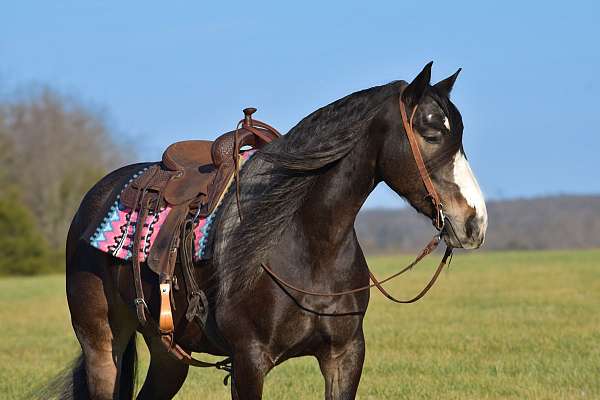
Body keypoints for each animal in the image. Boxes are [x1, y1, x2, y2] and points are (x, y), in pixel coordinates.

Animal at [48, 61, 488, 398]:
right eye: (432, 133)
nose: (475, 223)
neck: (307, 244)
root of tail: (92, 201)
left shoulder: (345, 356)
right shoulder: (249, 362)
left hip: (167, 353)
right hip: (101, 343)